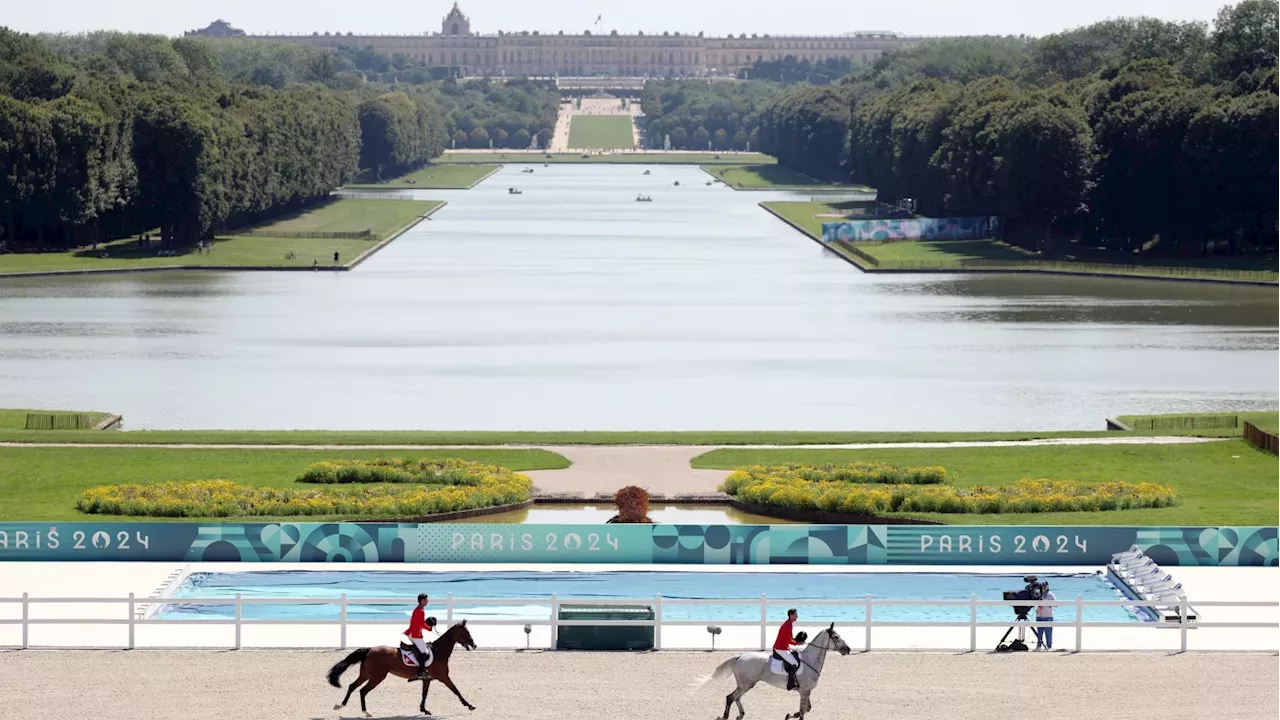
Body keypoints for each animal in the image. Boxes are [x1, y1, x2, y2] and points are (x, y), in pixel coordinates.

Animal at [327, 614, 478, 712]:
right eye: (466, 632)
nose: (474, 645)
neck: (439, 651)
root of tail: (369, 649)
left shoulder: (427, 679)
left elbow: (424, 693)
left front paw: (423, 709)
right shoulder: (444, 677)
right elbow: (456, 690)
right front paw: (469, 705)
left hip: (366, 674)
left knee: (352, 686)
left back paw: (340, 705)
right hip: (376, 677)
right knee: (362, 691)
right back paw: (366, 712)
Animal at [696, 620, 855, 712]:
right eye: (836, 637)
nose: (848, 649)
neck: (810, 660)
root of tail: (740, 656)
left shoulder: (805, 692)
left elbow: (806, 709)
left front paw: (791, 715)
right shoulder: (804, 691)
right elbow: (803, 712)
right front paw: (791, 715)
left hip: (745, 684)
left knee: (734, 698)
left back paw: (740, 714)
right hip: (746, 684)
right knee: (731, 697)